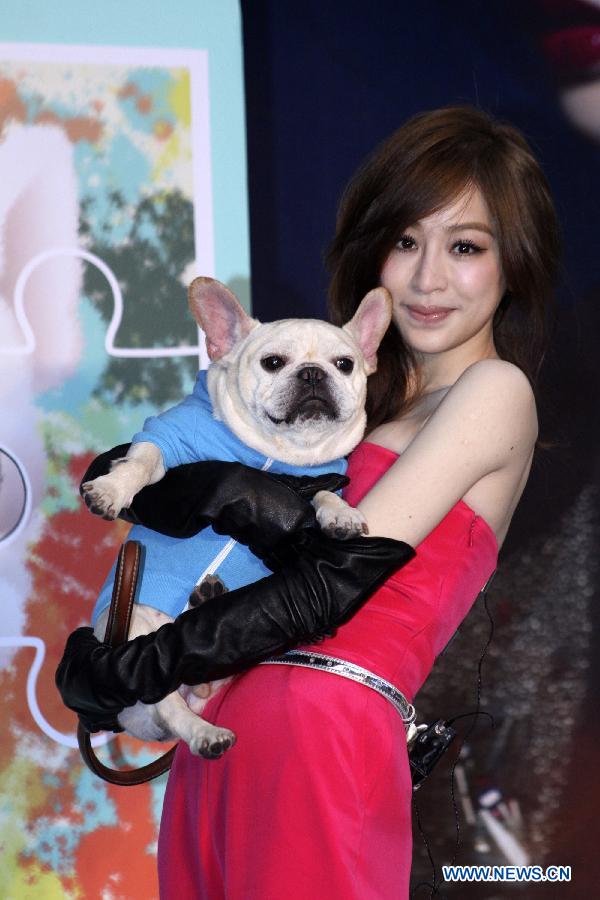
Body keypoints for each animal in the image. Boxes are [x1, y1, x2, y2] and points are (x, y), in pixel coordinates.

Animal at [83, 278, 394, 756]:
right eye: (273, 362)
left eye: (344, 364)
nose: (312, 373)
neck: (277, 454)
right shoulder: (163, 438)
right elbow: (139, 463)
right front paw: (112, 491)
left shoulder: (321, 477)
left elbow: (324, 493)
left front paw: (340, 515)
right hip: (135, 633)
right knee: (167, 702)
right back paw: (205, 733)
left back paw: (209, 600)